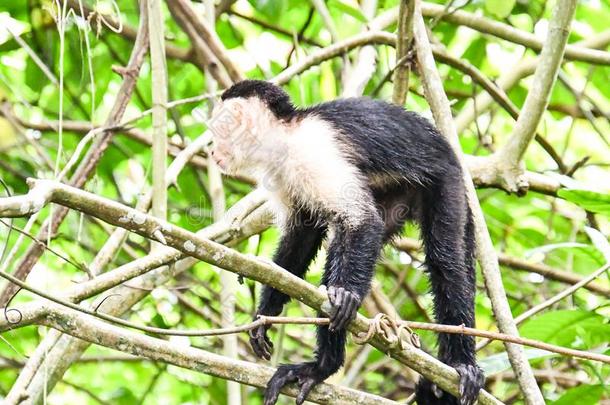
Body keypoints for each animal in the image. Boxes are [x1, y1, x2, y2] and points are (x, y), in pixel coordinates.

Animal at [207, 79, 482, 404]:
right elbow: (301, 237)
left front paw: (347, 295)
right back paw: (322, 367)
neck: (284, 139)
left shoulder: (314, 151)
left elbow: (363, 222)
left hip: (445, 181)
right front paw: (266, 314)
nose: (212, 151)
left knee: (445, 260)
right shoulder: (282, 174)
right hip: (396, 194)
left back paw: (461, 364)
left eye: (217, 131)